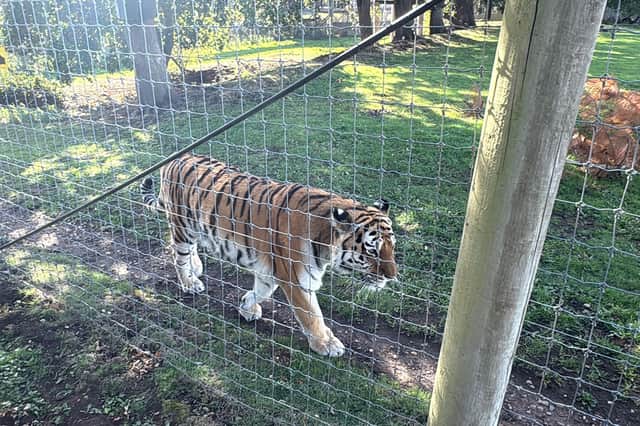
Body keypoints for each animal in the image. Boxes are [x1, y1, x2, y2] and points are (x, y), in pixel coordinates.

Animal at [141, 153, 397, 357]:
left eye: (392, 246)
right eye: (372, 249)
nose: (391, 277)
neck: (324, 241)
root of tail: (175, 158)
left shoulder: (272, 270)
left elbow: (261, 291)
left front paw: (246, 307)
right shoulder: (296, 280)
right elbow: (312, 315)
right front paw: (327, 344)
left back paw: (196, 268)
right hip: (182, 227)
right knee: (178, 255)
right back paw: (189, 282)